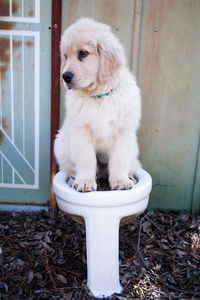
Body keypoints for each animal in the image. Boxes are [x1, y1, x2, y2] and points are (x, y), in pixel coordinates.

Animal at [54, 18, 141, 192]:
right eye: (65, 56)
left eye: (83, 53)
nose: (65, 76)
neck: (99, 96)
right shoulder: (81, 132)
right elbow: (86, 159)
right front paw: (85, 182)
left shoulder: (123, 132)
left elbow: (119, 159)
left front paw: (120, 181)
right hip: (60, 146)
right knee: (70, 169)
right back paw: (73, 180)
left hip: (134, 151)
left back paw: (130, 177)